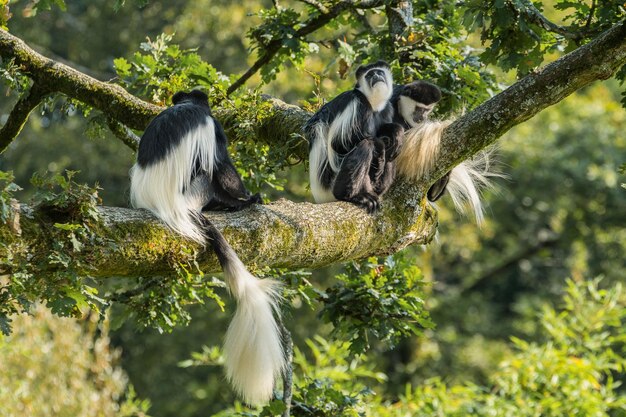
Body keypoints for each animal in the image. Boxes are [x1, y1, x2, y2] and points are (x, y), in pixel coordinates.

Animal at [129, 90, 286, 404]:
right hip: (196, 189)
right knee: (210, 172)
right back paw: (232, 204)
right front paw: (247, 197)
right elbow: (223, 164)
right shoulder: (213, 128)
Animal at [304, 59, 402, 211]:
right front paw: (379, 148)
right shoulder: (357, 104)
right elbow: (338, 143)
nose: (376, 76)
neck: (373, 104)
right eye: (369, 75)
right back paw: (353, 196)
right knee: (366, 146)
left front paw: (397, 132)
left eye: (379, 72)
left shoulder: (387, 109)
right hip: (335, 183)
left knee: (392, 150)